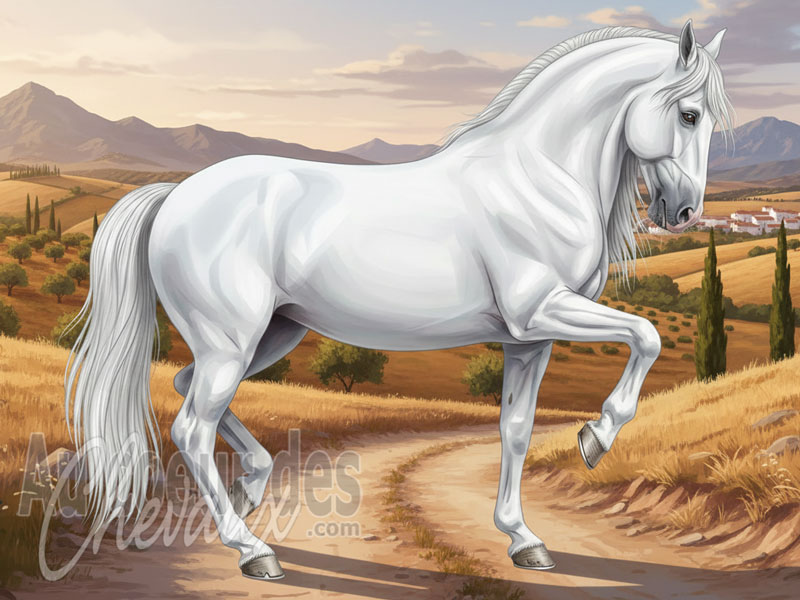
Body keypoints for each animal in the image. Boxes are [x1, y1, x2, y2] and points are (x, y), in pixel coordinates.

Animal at [65, 20, 732, 579]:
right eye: (689, 114)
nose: (683, 213)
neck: (536, 178)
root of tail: (175, 195)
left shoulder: (530, 339)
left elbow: (515, 430)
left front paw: (524, 540)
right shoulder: (541, 308)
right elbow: (646, 336)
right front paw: (597, 437)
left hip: (268, 335)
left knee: (184, 389)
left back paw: (253, 488)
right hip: (232, 342)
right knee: (191, 429)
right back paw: (254, 551)